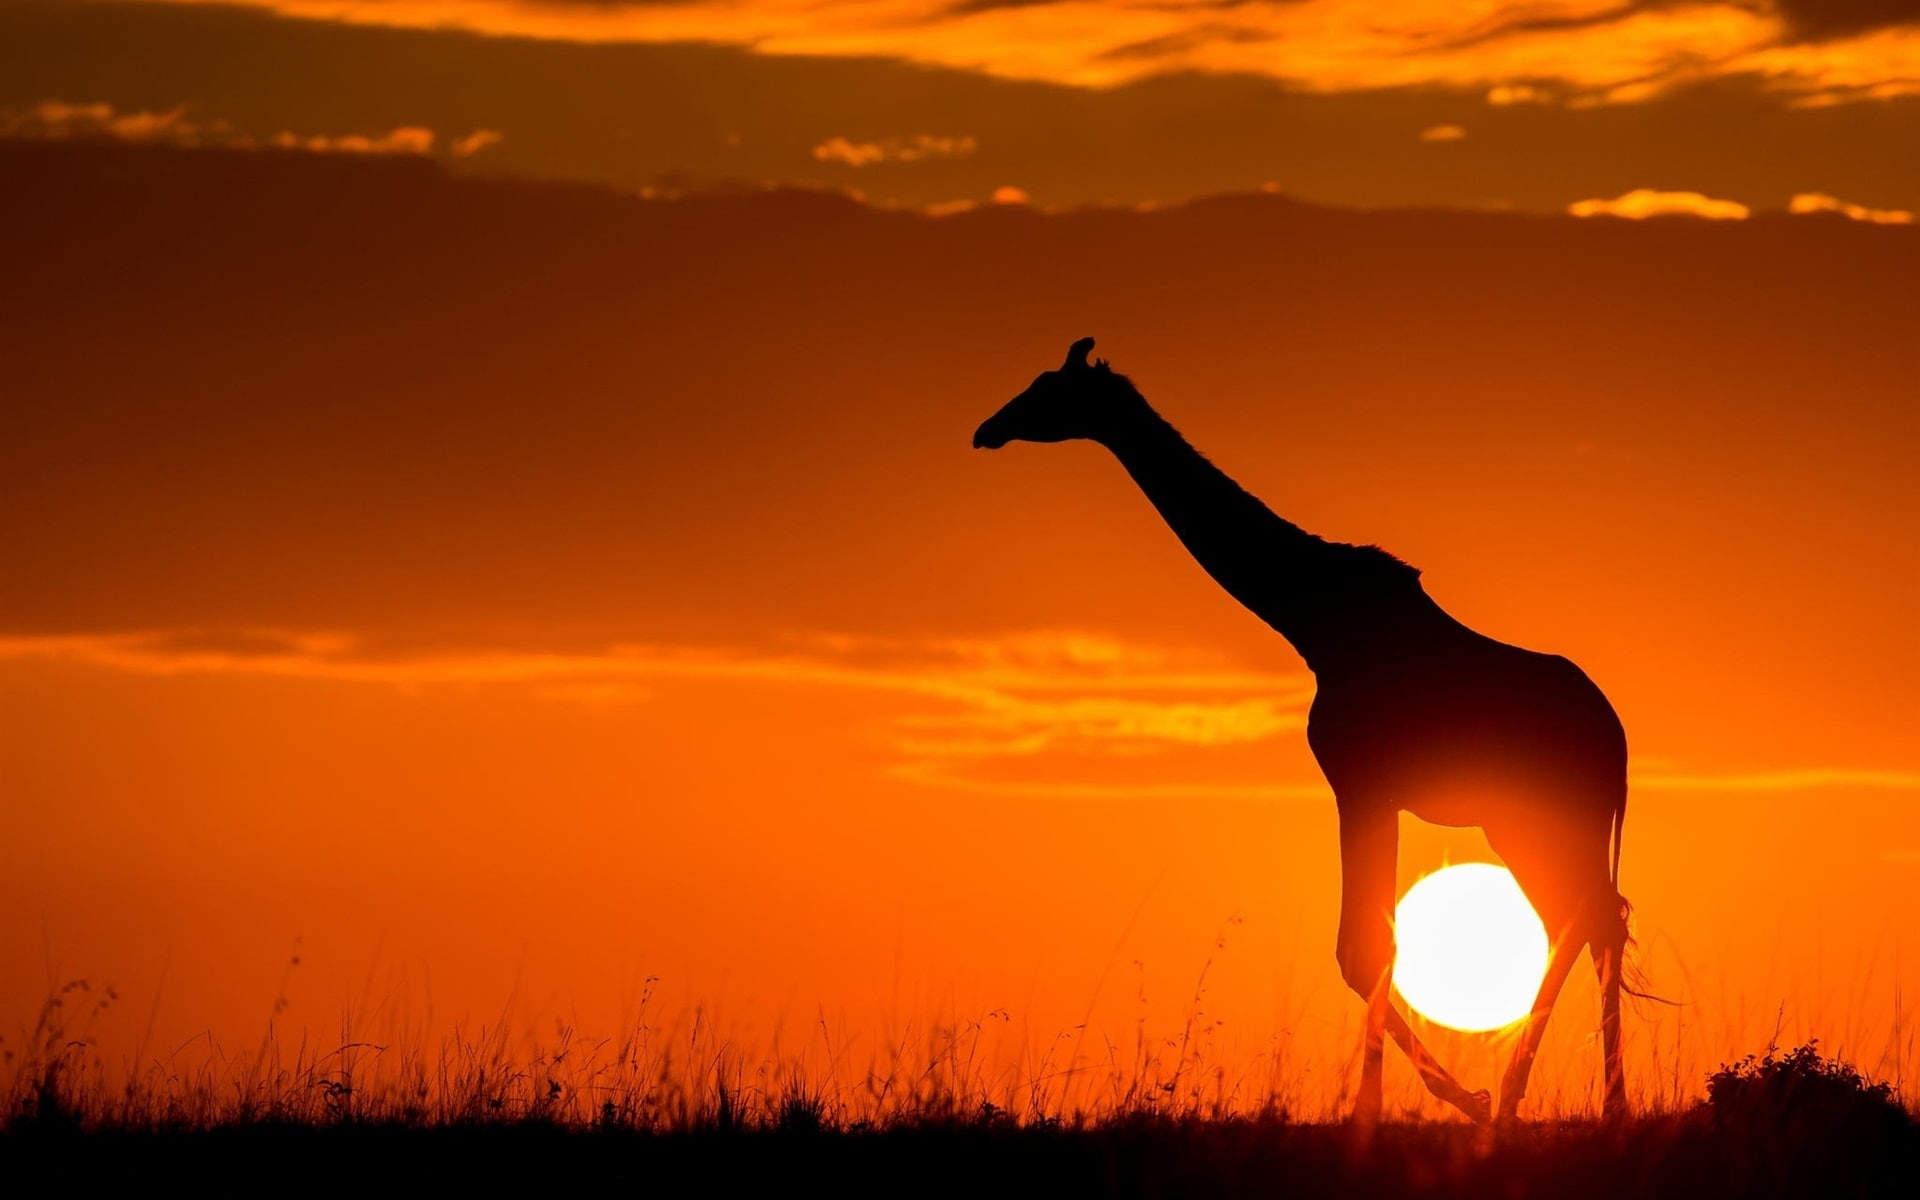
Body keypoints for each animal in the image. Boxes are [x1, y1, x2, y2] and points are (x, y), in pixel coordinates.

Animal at [973, 338, 1631, 1124]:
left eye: (1048, 388)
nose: (986, 430)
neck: (1311, 620)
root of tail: (1617, 741)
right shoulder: (1371, 789)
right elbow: (1372, 948)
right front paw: (1427, 1099)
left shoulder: (1361, 782)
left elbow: (1366, 948)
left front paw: (1382, 1111)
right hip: (1520, 822)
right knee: (1589, 921)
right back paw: (1562, 1101)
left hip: (1549, 817)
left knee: (1588, 921)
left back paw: (1530, 1101)